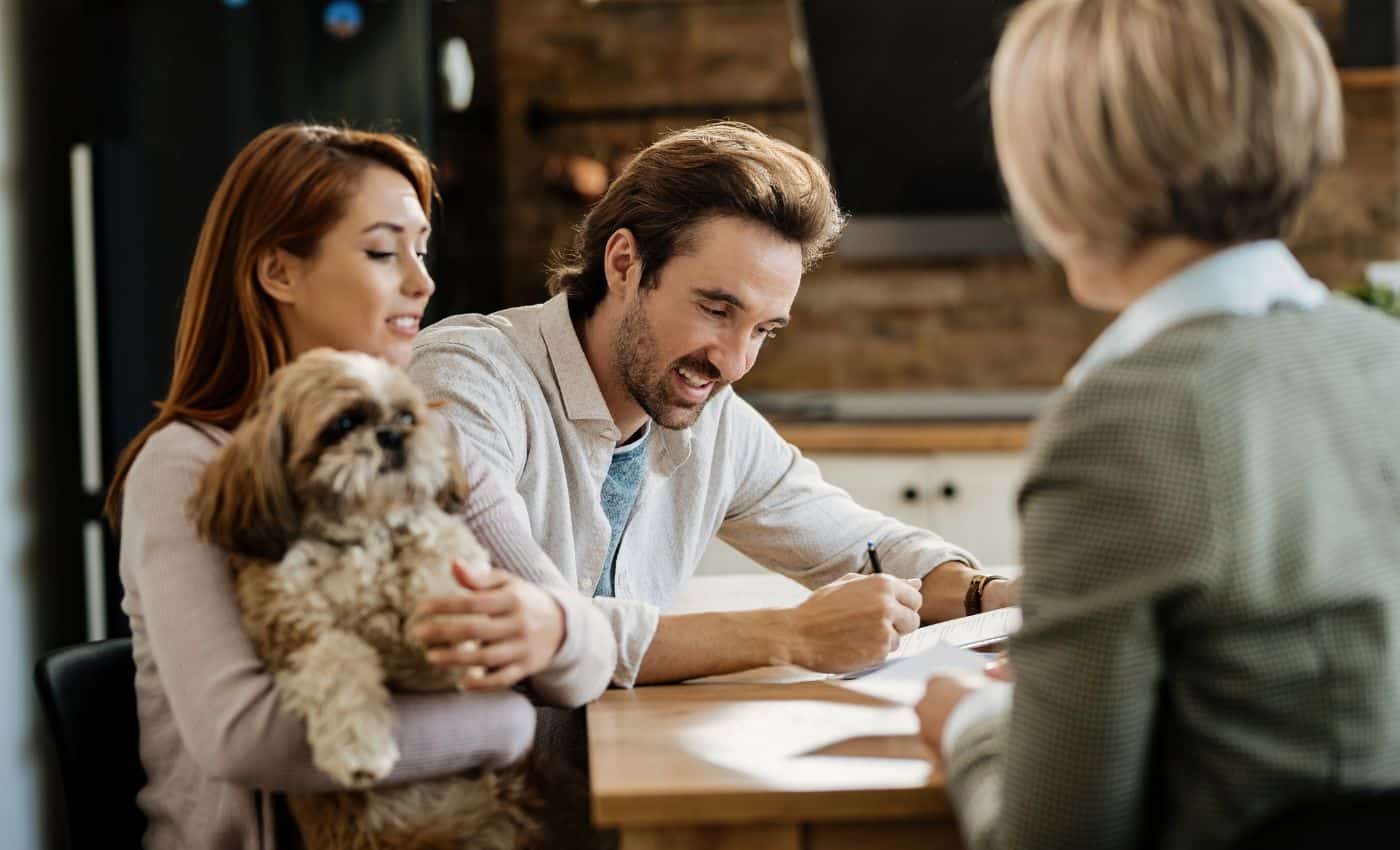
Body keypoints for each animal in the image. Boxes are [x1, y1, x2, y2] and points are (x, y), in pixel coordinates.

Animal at [189, 348, 532, 850]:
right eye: (344, 423)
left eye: (407, 416)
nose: (391, 435)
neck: (359, 535)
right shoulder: (293, 636)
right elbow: (338, 659)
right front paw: (358, 748)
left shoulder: (438, 542)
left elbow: (439, 549)